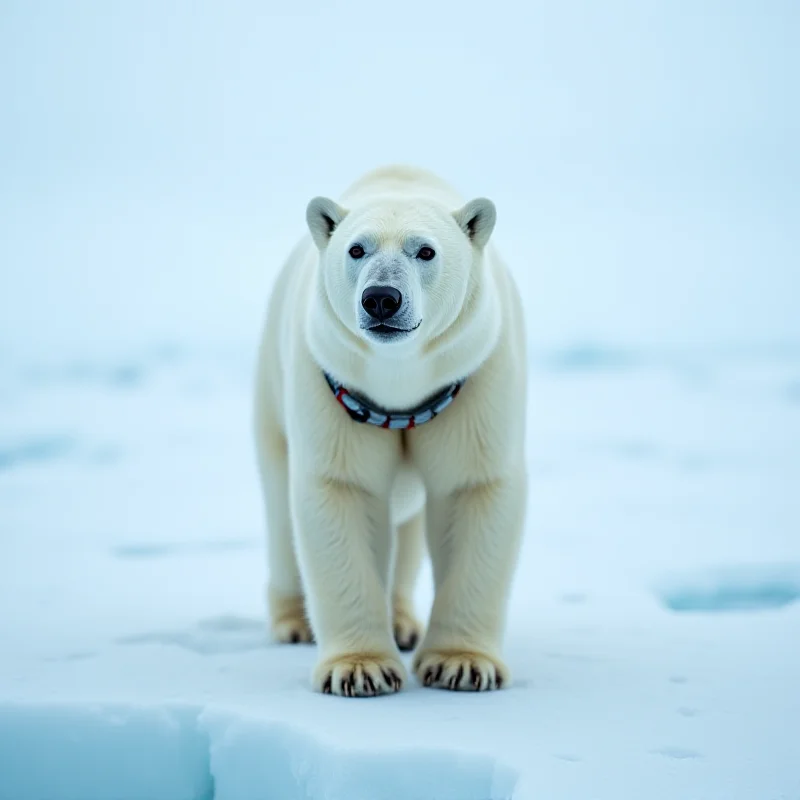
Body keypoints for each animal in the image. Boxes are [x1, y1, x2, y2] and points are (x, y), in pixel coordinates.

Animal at [256, 166, 528, 696]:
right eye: (356, 249)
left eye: (425, 251)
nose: (381, 298)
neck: (402, 392)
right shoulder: (337, 392)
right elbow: (343, 493)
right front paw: (360, 670)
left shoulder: (473, 387)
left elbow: (471, 488)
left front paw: (462, 665)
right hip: (272, 393)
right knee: (280, 509)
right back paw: (293, 621)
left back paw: (403, 622)